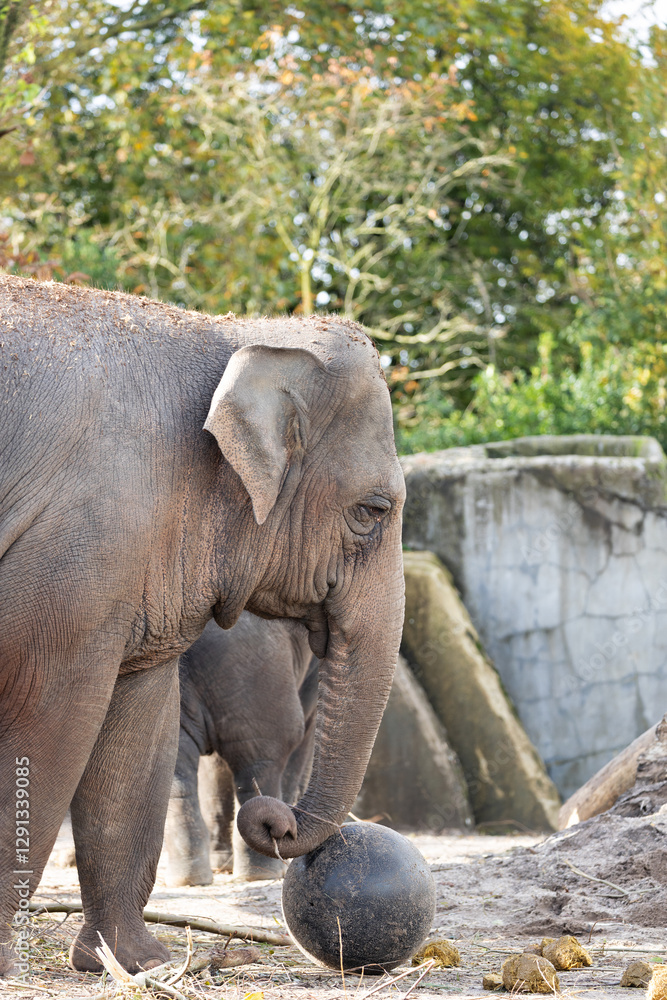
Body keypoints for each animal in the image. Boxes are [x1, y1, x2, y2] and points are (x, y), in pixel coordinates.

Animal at [165, 614, 318, 885]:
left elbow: (213, 765)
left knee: (176, 769)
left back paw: (190, 879)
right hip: (257, 676)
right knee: (261, 760)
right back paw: (262, 872)